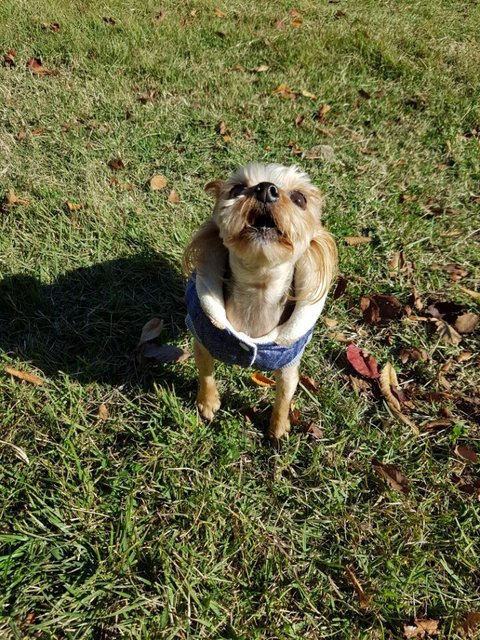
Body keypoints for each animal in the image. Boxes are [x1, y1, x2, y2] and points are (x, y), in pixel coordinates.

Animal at [183, 163, 337, 443]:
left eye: (300, 199)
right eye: (237, 189)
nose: (266, 188)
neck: (258, 289)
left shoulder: (288, 362)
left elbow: (284, 396)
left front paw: (277, 430)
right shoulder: (202, 335)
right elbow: (206, 372)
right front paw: (207, 403)